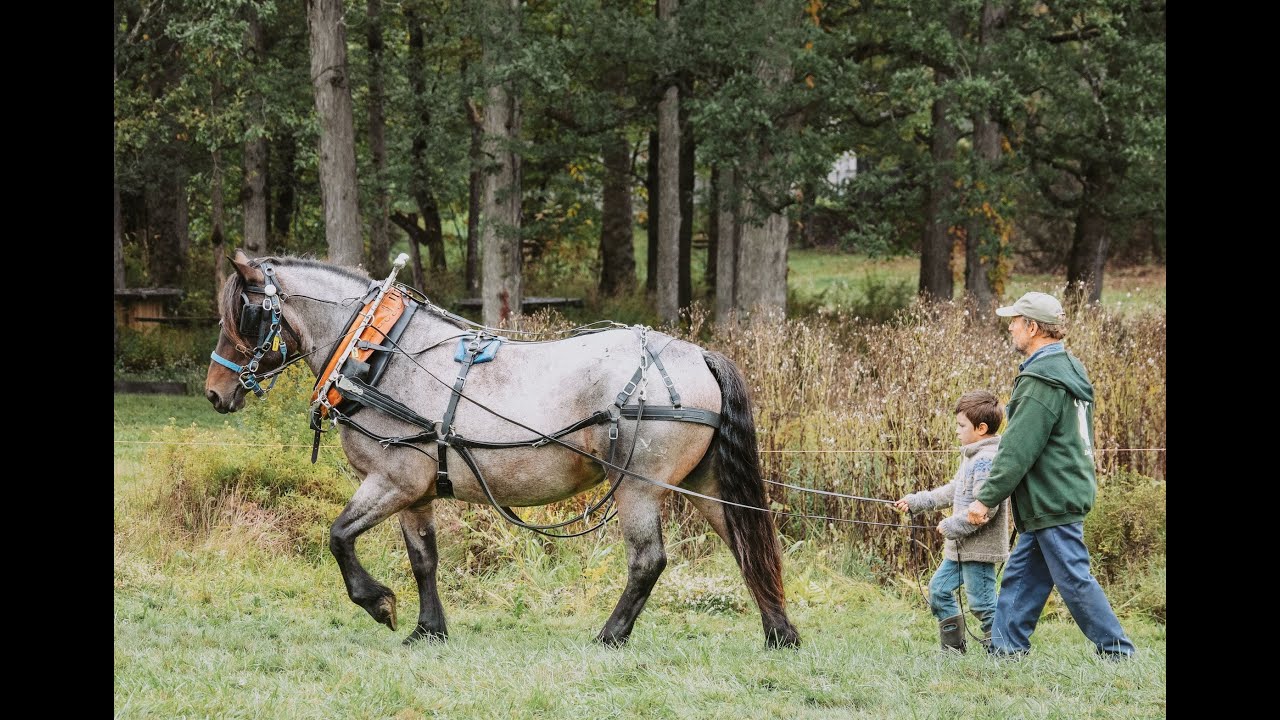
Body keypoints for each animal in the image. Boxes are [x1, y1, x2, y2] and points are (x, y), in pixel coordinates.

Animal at [204, 250, 800, 648]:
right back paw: (780, 633)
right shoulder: (416, 491)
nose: (215, 391)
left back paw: (610, 636)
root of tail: (698, 355)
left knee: (648, 561)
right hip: (704, 483)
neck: (375, 353)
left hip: (637, 486)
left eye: (246, 315)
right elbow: (424, 559)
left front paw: (378, 603)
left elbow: (338, 537)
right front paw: (428, 629)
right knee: (747, 546)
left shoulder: (391, 481)